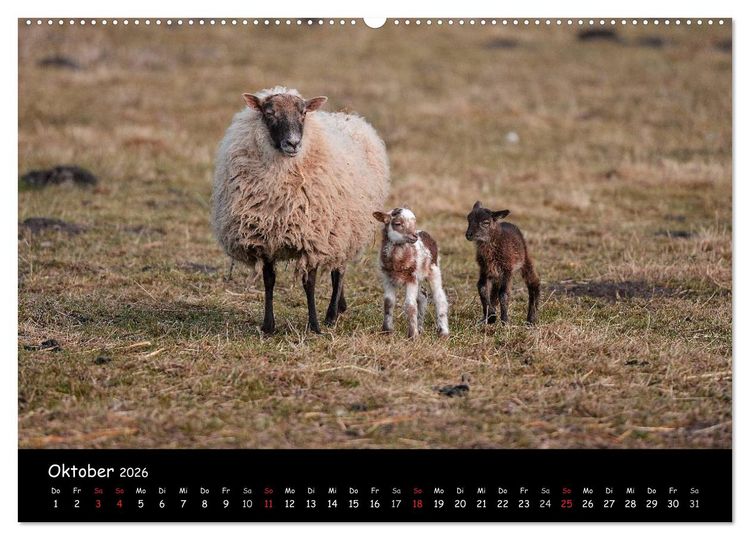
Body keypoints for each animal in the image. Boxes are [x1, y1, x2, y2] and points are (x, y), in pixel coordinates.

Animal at [212, 87, 390, 334]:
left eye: (303, 113)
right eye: (269, 113)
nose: (293, 143)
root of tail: (348, 116)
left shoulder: (312, 238)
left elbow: (309, 283)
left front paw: (314, 325)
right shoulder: (266, 238)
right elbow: (269, 280)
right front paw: (268, 326)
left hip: (344, 231)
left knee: (339, 271)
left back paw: (332, 314)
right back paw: (340, 306)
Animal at [373, 207, 449, 338]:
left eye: (414, 223)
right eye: (398, 223)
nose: (414, 236)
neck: (397, 260)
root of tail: (424, 233)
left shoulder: (411, 278)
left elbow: (410, 305)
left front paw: (413, 336)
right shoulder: (388, 278)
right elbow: (388, 302)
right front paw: (386, 331)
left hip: (434, 269)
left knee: (439, 297)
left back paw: (443, 332)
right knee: (422, 296)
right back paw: (420, 328)